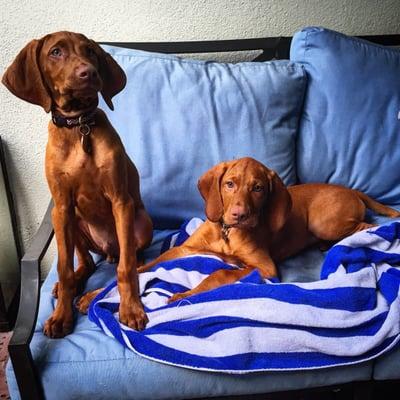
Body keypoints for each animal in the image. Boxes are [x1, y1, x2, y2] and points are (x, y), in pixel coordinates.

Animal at [1, 32, 153, 338]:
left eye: (91, 52)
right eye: (55, 52)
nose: (89, 73)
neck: (78, 126)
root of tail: (108, 250)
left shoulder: (121, 201)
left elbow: (126, 269)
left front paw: (130, 308)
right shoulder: (61, 207)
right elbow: (63, 267)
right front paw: (61, 315)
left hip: (141, 223)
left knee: (131, 258)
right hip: (73, 223)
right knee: (85, 262)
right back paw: (70, 287)